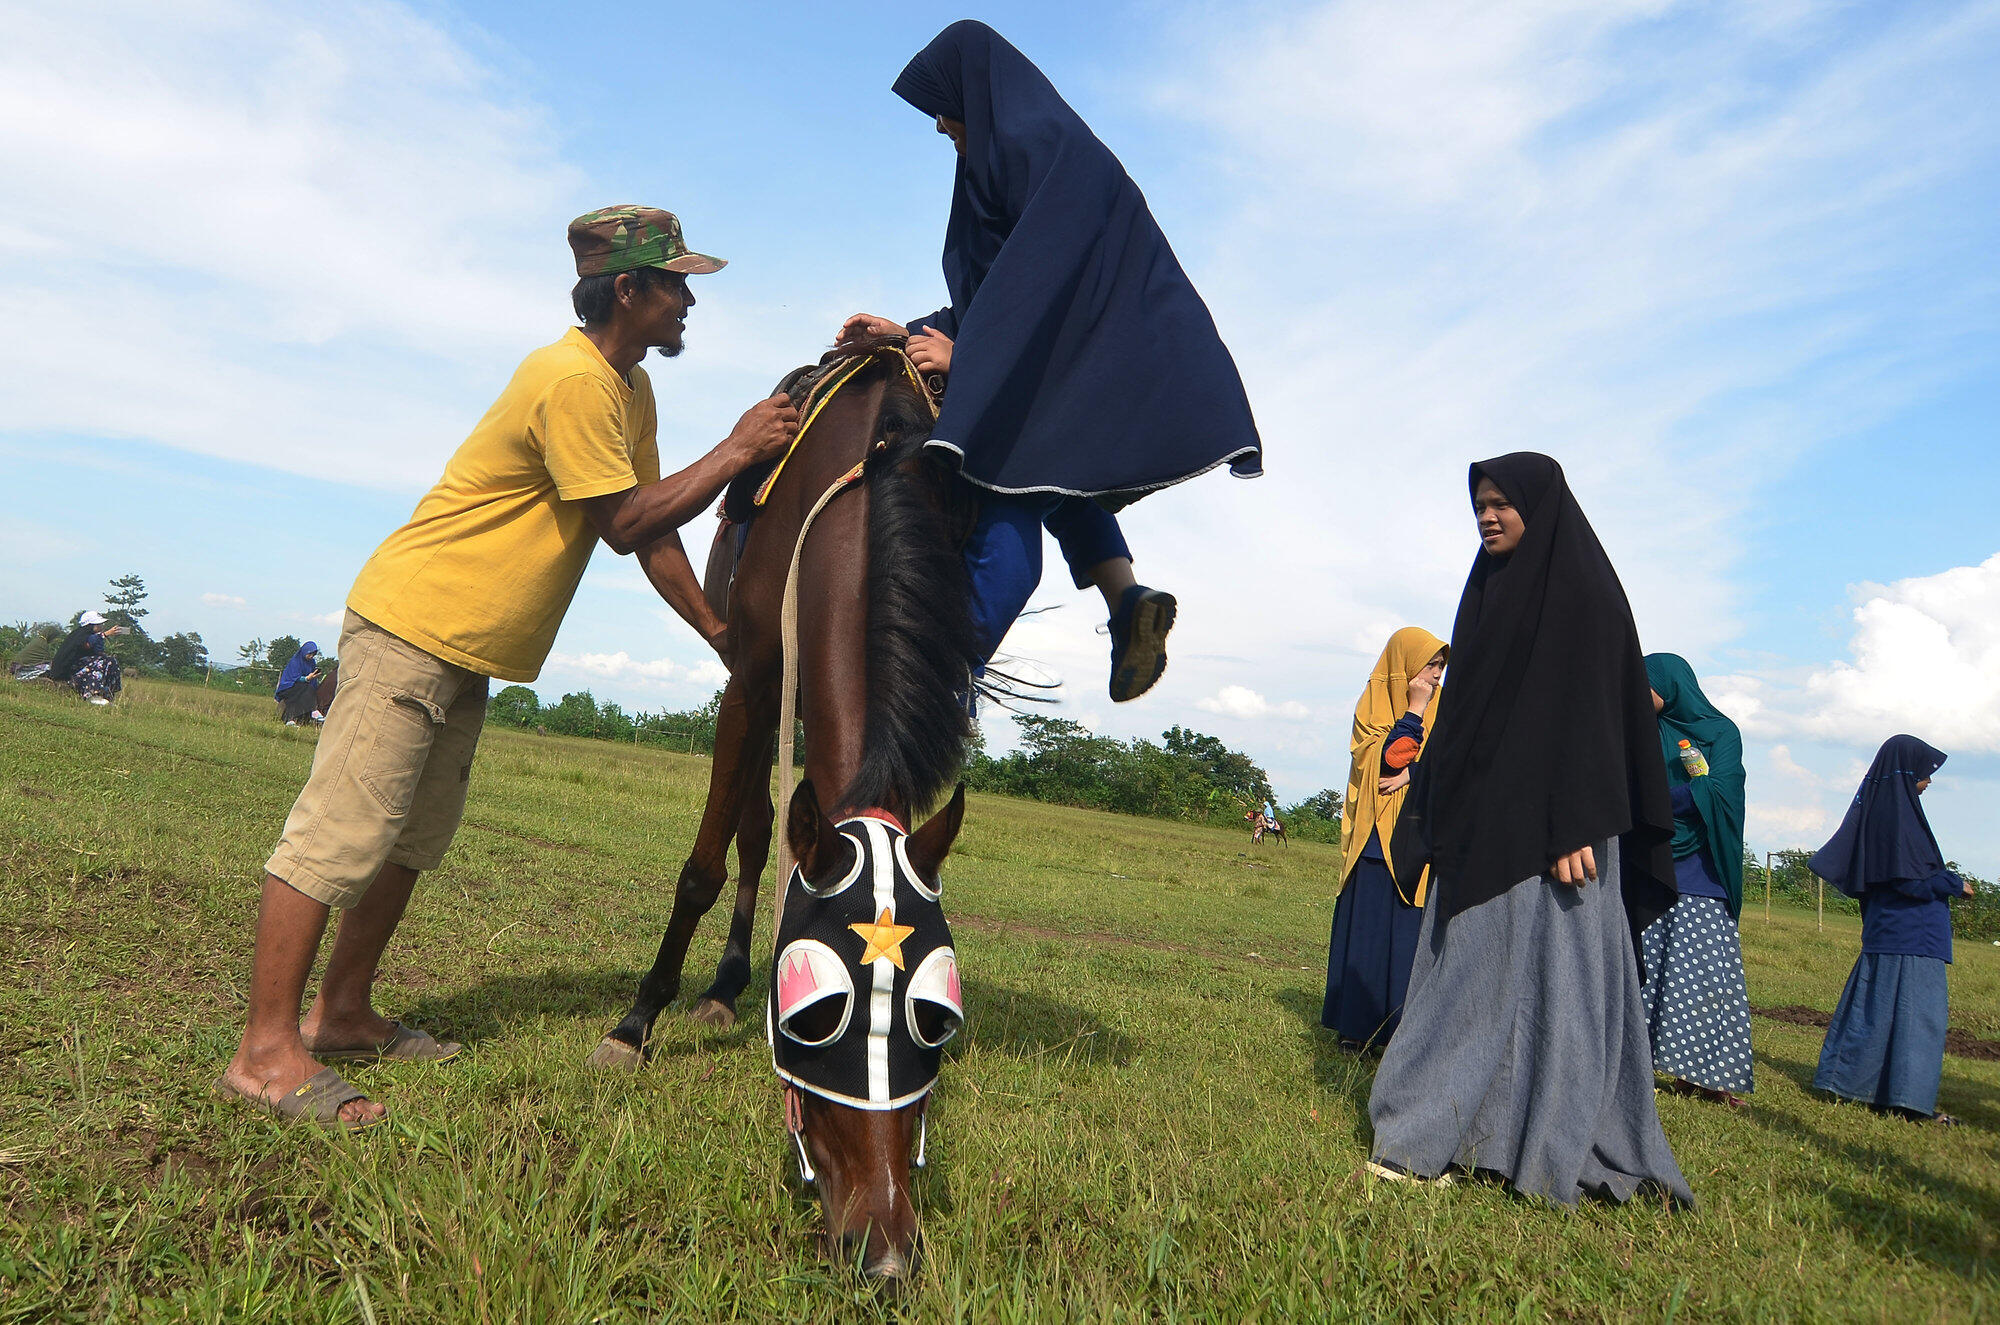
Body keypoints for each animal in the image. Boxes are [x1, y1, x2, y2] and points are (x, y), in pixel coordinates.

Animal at [584, 342, 984, 1288]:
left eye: (936, 1020)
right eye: (812, 1015)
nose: (886, 1251)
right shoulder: (752, 671)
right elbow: (706, 863)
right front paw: (636, 1022)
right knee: (757, 830)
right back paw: (719, 984)